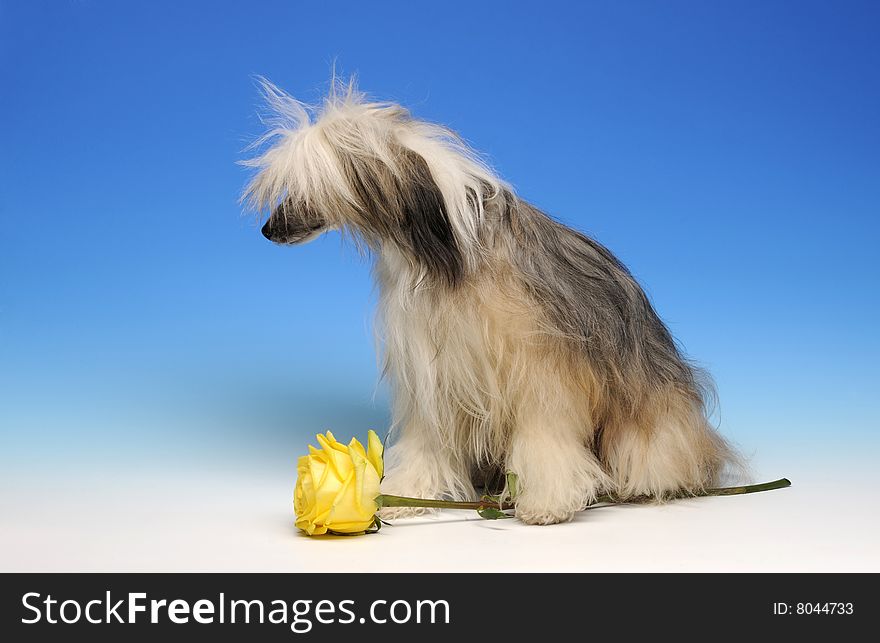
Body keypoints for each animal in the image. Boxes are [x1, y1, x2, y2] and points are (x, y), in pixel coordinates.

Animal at [242, 78, 744, 524]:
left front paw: (547, 502)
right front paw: (407, 493)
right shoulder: (431, 372)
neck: (445, 248)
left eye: (304, 187)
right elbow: (426, 442)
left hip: (647, 418)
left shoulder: (541, 372)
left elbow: (544, 442)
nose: (267, 230)